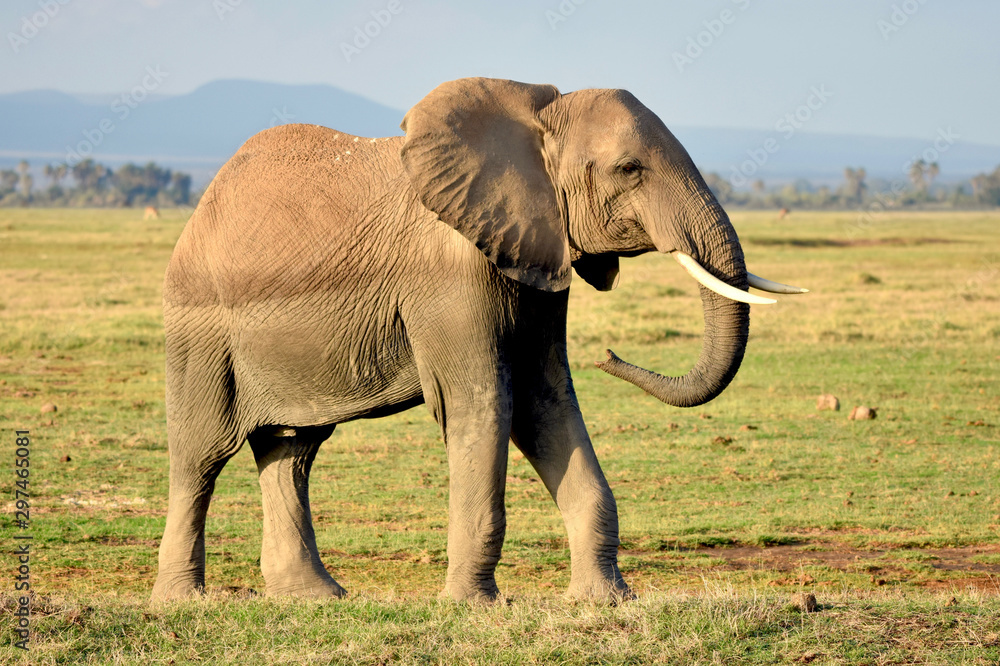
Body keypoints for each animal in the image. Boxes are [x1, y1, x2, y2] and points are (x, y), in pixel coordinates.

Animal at [150, 76, 804, 600]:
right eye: (629, 169)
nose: (609, 356)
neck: (533, 122)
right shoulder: (452, 275)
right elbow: (485, 403)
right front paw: (472, 606)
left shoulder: (536, 248)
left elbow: (546, 402)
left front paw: (606, 602)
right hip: (199, 328)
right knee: (201, 456)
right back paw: (183, 603)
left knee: (292, 450)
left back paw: (313, 598)